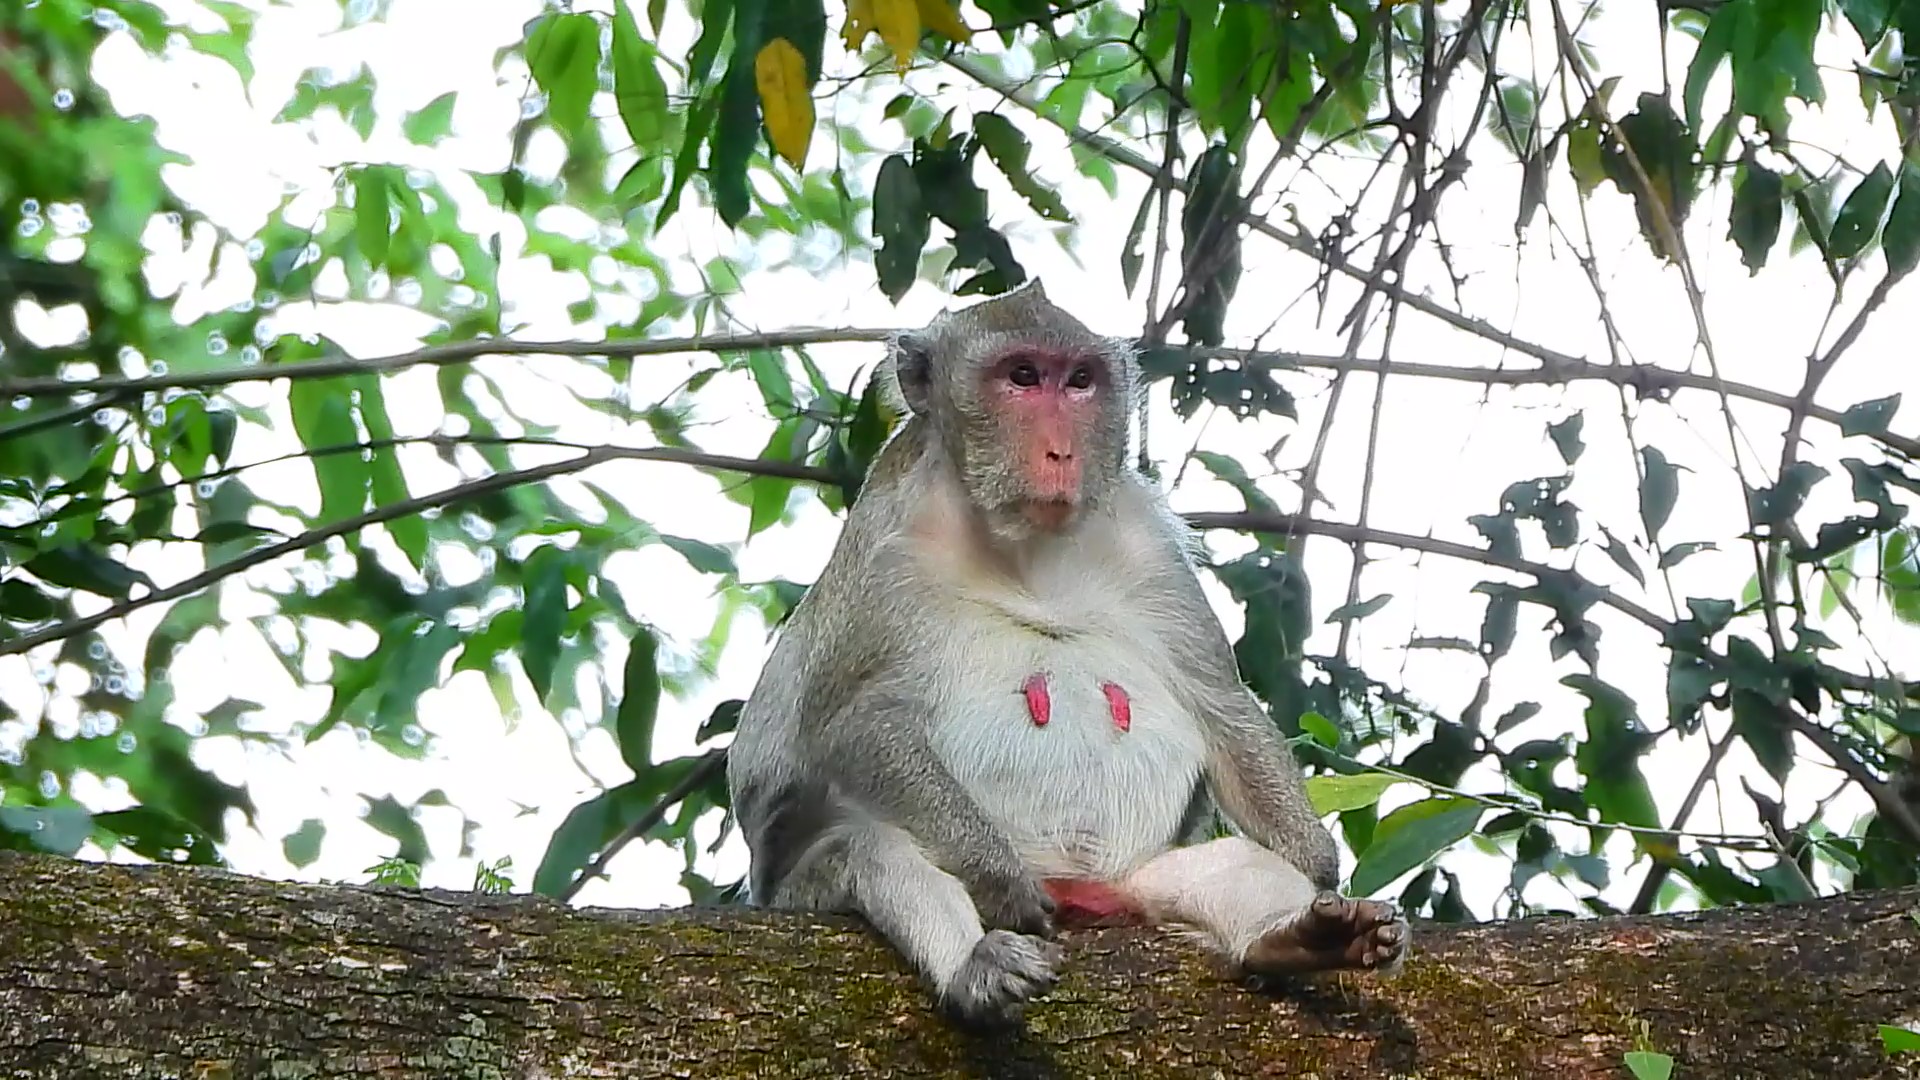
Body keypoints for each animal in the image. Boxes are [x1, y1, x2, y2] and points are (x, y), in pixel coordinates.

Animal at [725, 280, 1408, 1025]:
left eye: (1079, 382)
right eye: (1022, 377)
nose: (1060, 454)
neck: (1025, 548)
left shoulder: (1147, 543)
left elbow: (1220, 703)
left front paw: (1312, 865)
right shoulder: (887, 549)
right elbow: (855, 721)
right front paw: (999, 881)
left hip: (1136, 878)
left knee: (1223, 866)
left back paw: (1296, 938)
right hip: (810, 887)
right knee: (872, 849)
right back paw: (976, 963)